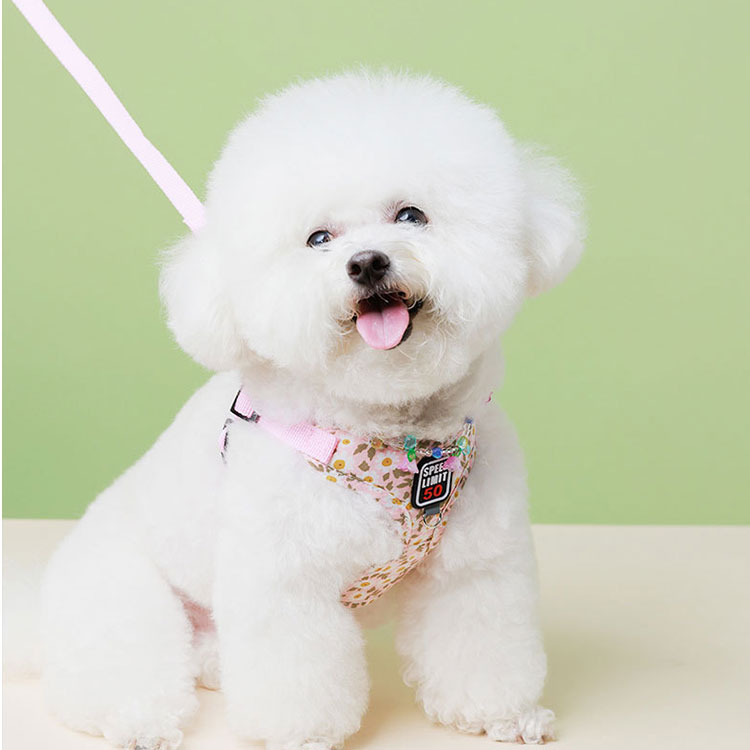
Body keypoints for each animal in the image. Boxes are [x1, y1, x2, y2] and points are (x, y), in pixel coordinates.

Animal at [38, 71, 584, 749]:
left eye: (411, 215)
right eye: (318, 239)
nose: (367, 261)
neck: (395, 441)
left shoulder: (477, 568)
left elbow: (483, 646)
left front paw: (501, 713)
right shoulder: (284, 584)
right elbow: (297, 675)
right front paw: (300, 735)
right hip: (121, 598)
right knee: (113, 673)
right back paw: (140, 720)